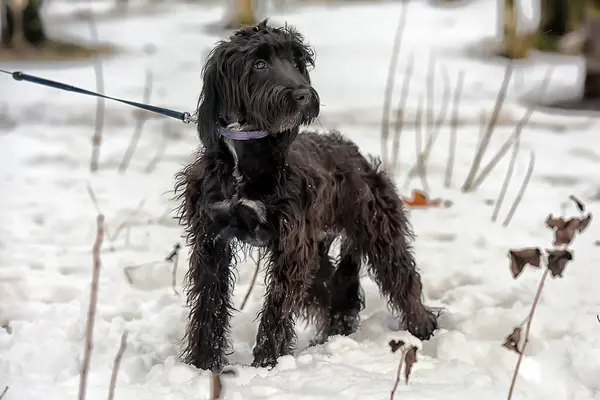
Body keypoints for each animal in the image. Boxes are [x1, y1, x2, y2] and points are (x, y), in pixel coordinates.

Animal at [176, 19, 438, 372]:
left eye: (296, 61)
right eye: (259, 63)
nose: (303, 95)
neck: (245, 155)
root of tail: (352, 150)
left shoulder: (291, 244)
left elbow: (277, 306)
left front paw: (266, 364)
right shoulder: (211, 238)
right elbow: (209, 303)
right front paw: (202, 365)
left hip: (376, 230)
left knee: (402, 278)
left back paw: (423, 329)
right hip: (317, 250)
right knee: (332, 292)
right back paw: (333, 334)